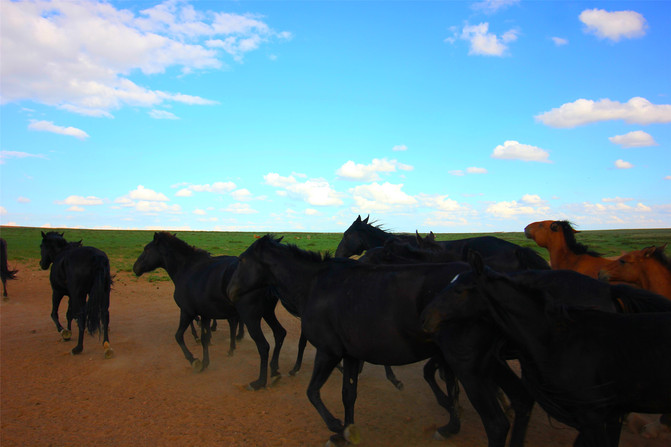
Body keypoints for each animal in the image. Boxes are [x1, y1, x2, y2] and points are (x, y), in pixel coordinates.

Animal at [133, 233, 288, 390]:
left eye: (146, 249)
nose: (135, 268)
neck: (187, 270)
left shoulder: (187, 312)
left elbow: (179, 336)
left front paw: (194, 361)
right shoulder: (205, 314)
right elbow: (204, 339)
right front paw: (205, 363)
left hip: (251, 318)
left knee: (263, 346)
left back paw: (259, 381)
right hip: (267, 312)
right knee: (279, 333)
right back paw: (274, 371)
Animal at [228, 236, 470, 446]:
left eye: (242, 260)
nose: (230, 291)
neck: (314, 285)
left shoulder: (328, 352)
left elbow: (312, 392)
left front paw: (337, 426)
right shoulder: (350, 354)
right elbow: (348, 394)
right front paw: (345, 431)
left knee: (455, 386)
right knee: (453, 386)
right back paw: (451, 424)